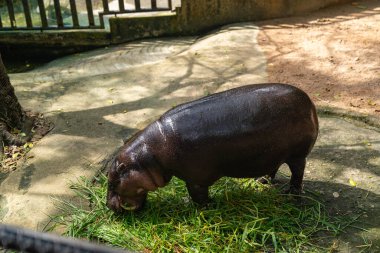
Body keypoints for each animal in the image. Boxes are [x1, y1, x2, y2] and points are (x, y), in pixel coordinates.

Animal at [106, 83, 318, 211]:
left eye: (114, 182)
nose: (108, 206)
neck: (149, 155)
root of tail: (309, 102)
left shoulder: (195, 179)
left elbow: (198, 196)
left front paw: (203, 206)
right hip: (273, 154)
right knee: (273, 167)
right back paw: (261, 181)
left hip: (297, 155)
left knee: (297, 173)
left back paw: (291, 194)